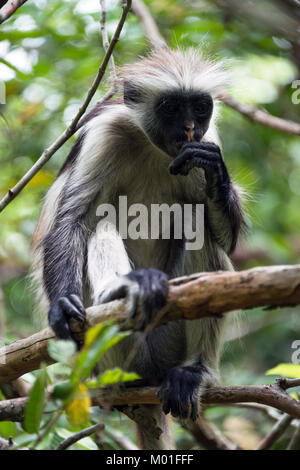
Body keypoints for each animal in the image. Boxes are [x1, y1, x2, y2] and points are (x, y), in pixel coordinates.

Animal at [31, 49, 245, 450]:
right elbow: (72, 222)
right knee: (100, 225)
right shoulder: (103, 134)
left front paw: (216, 173)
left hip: (167, 340)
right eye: (171, 107)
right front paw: (62, 305)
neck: (150, 145)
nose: (190, 127)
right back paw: (123, 289)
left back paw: (194, 372)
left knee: (201, 231)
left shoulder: (209, 140)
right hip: (108, 358)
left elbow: (226, 240)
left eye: (200, 107)